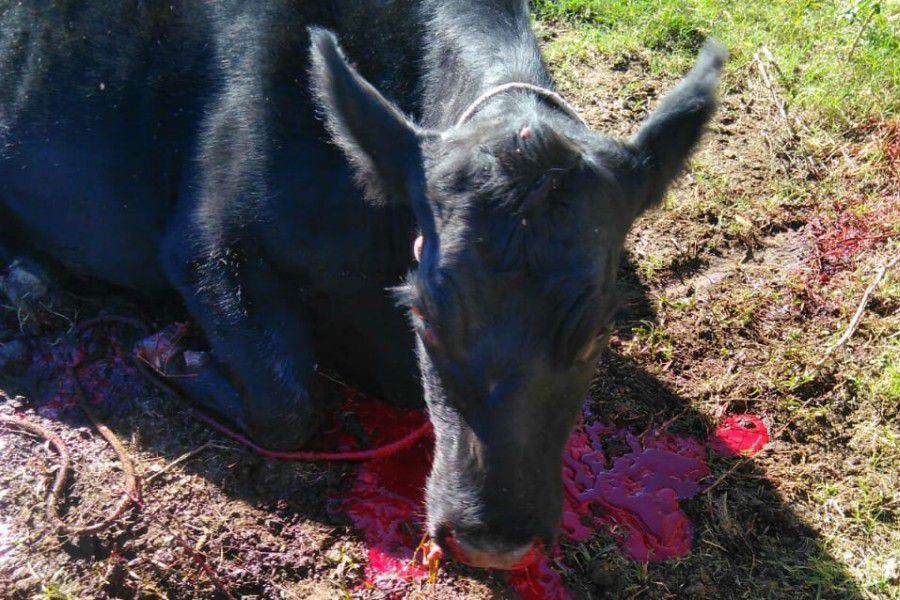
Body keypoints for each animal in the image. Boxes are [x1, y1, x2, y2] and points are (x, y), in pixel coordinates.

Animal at [0, 0, 720, 568]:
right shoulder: (207, 238)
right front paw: (171, 354)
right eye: (425, 315)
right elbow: (287, 399)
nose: (493, 539)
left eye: (598, 331)